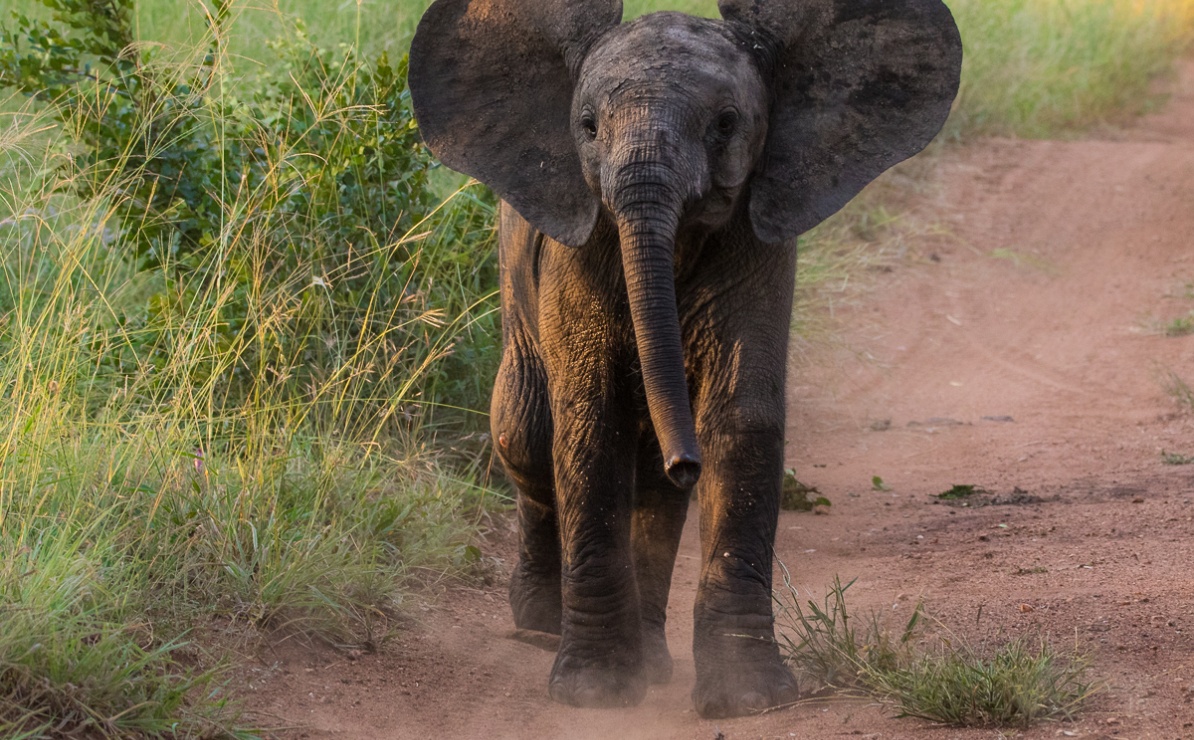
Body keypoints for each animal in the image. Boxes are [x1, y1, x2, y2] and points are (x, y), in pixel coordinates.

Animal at [408, 0, 961, 718]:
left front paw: (749, 699)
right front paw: (594, 693)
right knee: (525, 435)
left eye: (725, 124)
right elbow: (589, 421)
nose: (686, 462)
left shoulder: (757, 239)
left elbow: (741, 416)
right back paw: (539, 624)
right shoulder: (579, 251)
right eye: (588, 127)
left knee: (649, 486)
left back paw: (651, 656)